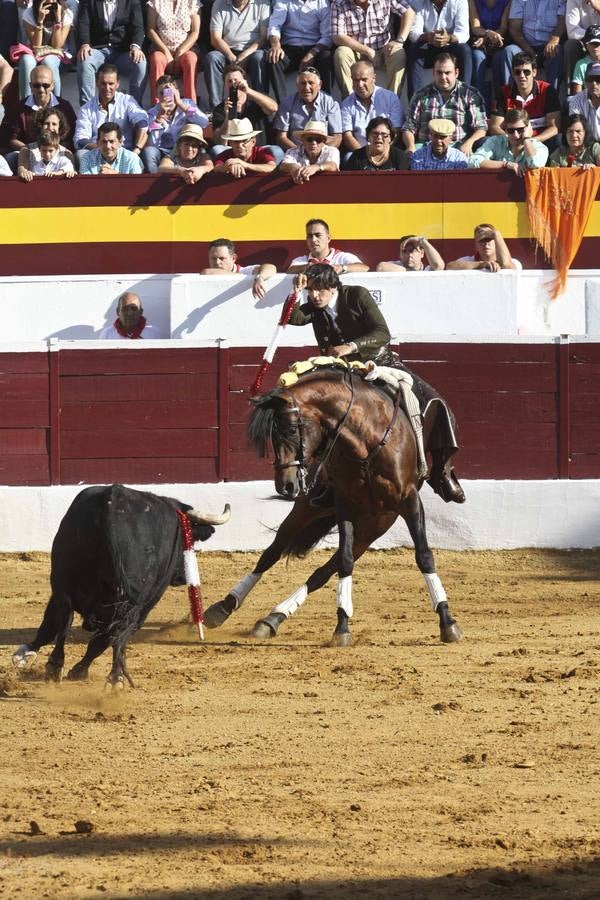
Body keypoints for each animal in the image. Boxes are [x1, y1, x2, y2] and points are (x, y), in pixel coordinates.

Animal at [12, 488, 232, 684]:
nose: (181, 577)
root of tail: (113, 503)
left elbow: (59, 627)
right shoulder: (145, 605)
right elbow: (105, 640)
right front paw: (80, 671)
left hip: (62, 578)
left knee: (62, 617)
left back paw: (53, 666)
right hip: (133, 602)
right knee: (110, 632)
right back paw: (112, 678)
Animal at [204, 366, 462, 648]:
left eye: (292, 430)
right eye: (272, 435)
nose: (286, 485)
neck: (366, 444)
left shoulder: (409, 501)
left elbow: (424, 556)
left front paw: (447, 622)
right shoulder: (345, 505)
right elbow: (346, 561)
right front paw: (342, 627)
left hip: (376, 525)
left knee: (323, 571)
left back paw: (274, 617)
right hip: (307, 510)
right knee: (271, 554)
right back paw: (224, 607)